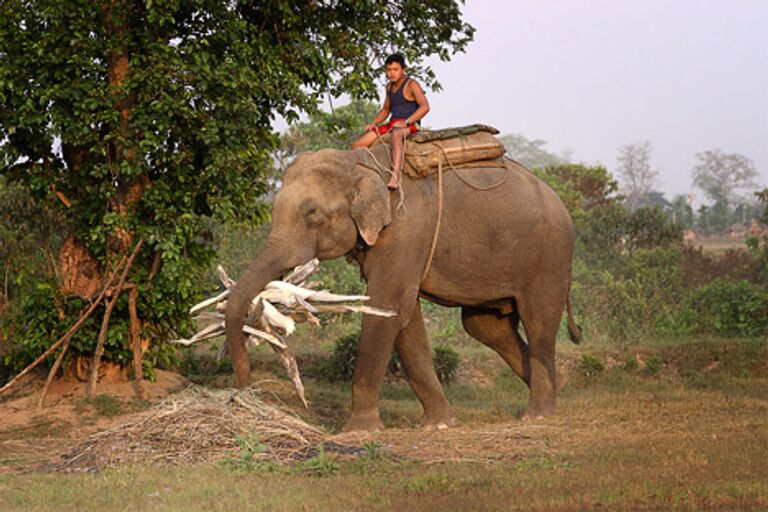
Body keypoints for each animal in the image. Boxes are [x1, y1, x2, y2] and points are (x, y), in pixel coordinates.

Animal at [225, 145, 580, 432]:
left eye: (311, 213)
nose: (245, 391)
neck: (360, 162)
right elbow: (404, 317)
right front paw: (440, 425)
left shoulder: (406, 230)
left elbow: (387, 306)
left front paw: (358, 431)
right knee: (486, 327)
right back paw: (561, 384)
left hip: (549, 257)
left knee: (538, 323)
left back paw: (538, 415)